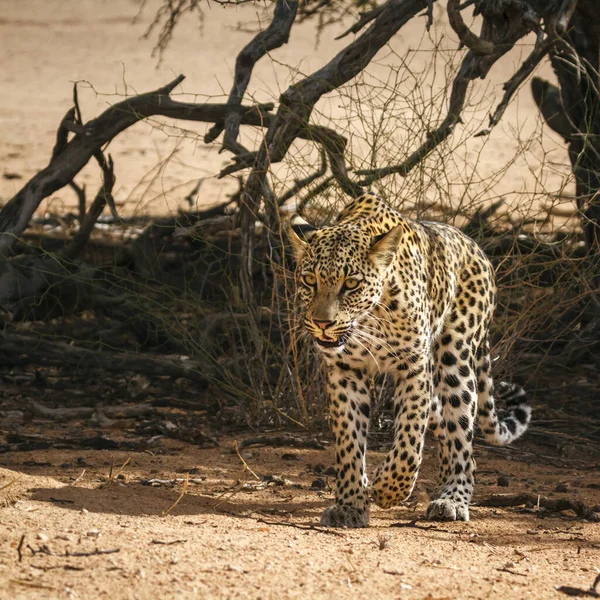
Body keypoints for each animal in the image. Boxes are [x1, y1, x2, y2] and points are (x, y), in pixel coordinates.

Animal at [290, 195, 528, 528]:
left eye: (351, 284)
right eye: (310, 280)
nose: (323, 323)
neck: (370, 319)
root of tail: (475, 247)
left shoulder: (414, 367)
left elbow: (410, 440)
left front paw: (388, 489)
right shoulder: (346, 371)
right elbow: (349, 442)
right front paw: (350, 504)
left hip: (456, 358)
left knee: (461, 435)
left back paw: (452, 498)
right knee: (450, 430)